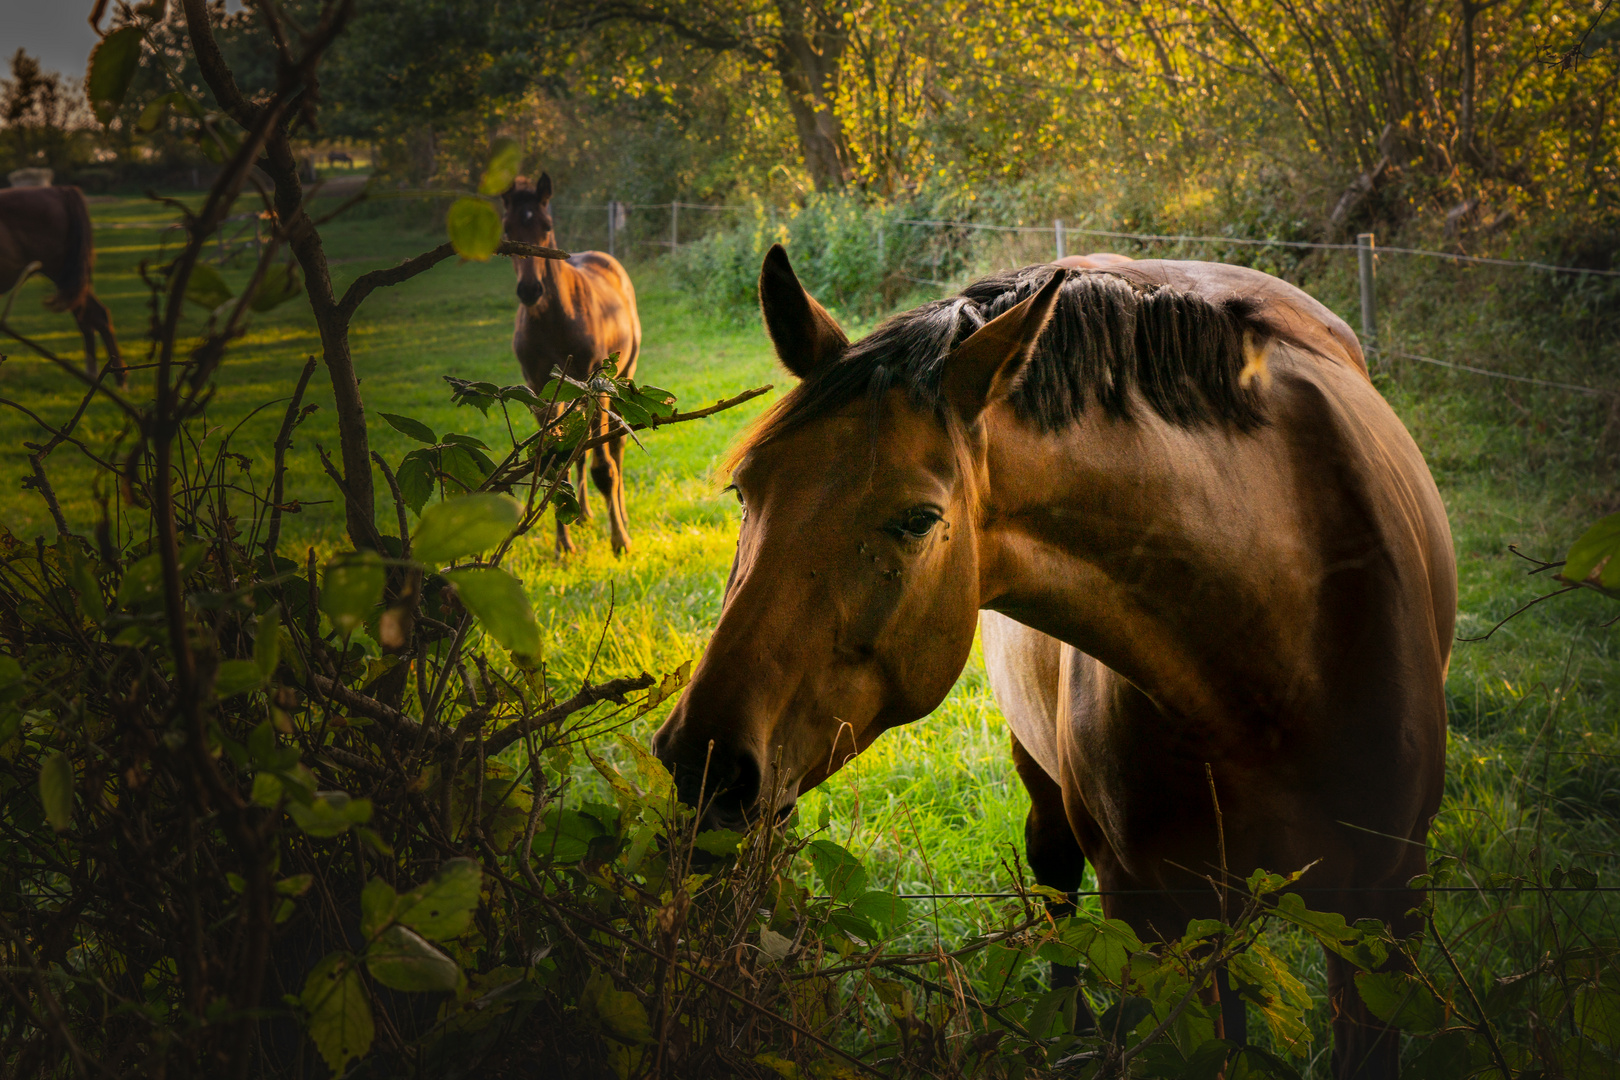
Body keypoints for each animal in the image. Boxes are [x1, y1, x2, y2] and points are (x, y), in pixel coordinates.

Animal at [498, 175, 638, 557]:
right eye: (507, 228)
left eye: (546, 226)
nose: (530, 290)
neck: (554, 320)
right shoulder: (537, 388)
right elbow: (551, 460)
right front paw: (564, 546)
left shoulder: (596, 384)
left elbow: (604, 467)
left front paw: (619, 541)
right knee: (578, 451)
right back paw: (585, 514)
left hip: (623, 376)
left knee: (615, 448)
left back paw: (620, 516)